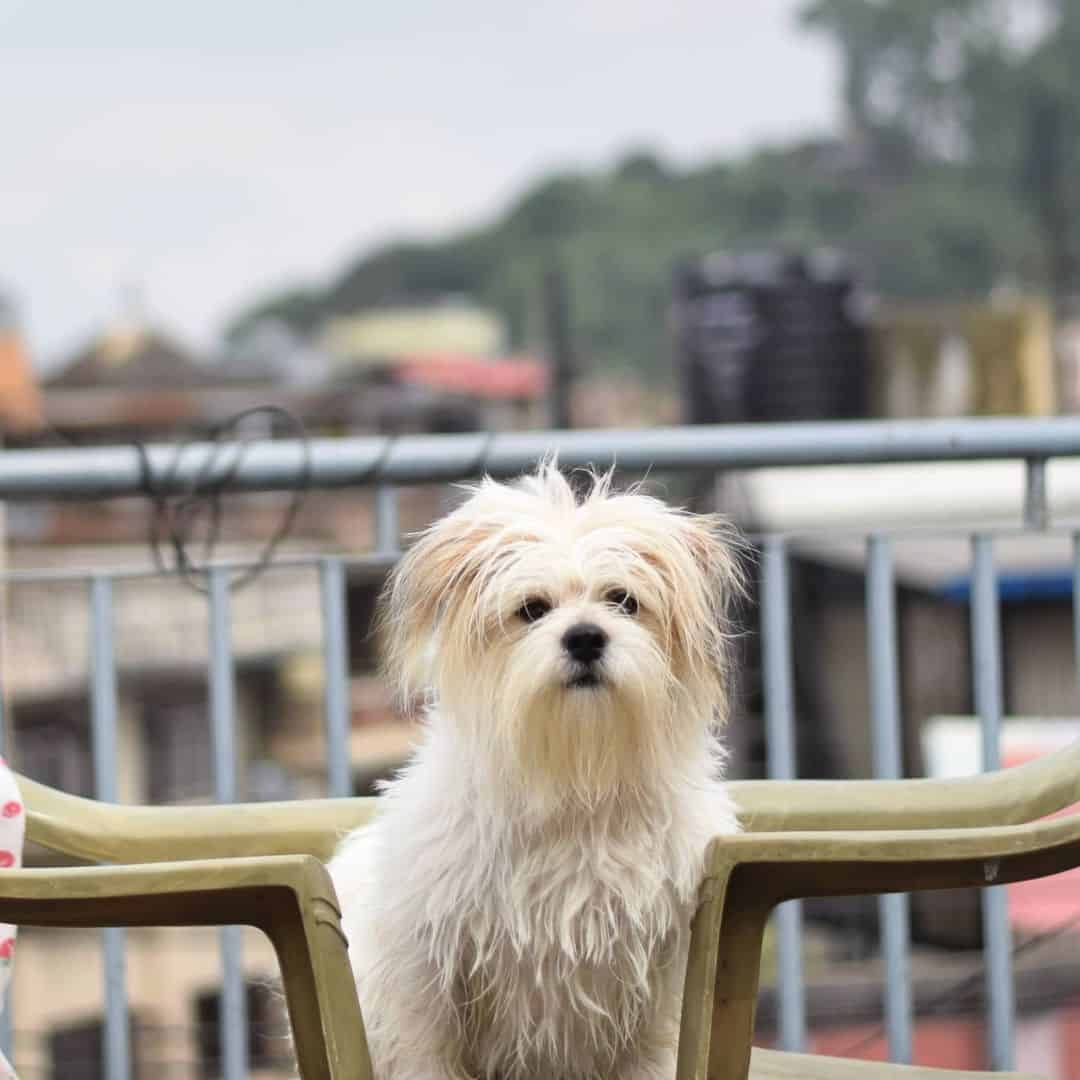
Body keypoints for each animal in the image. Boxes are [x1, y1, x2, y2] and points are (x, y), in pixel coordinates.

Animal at [330, 466, 743, 1080]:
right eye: (532, 609)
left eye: (623, 601)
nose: (586, 637)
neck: (572, 778)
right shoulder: (426, 969)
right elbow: (427, 1048)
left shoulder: (661, 984)